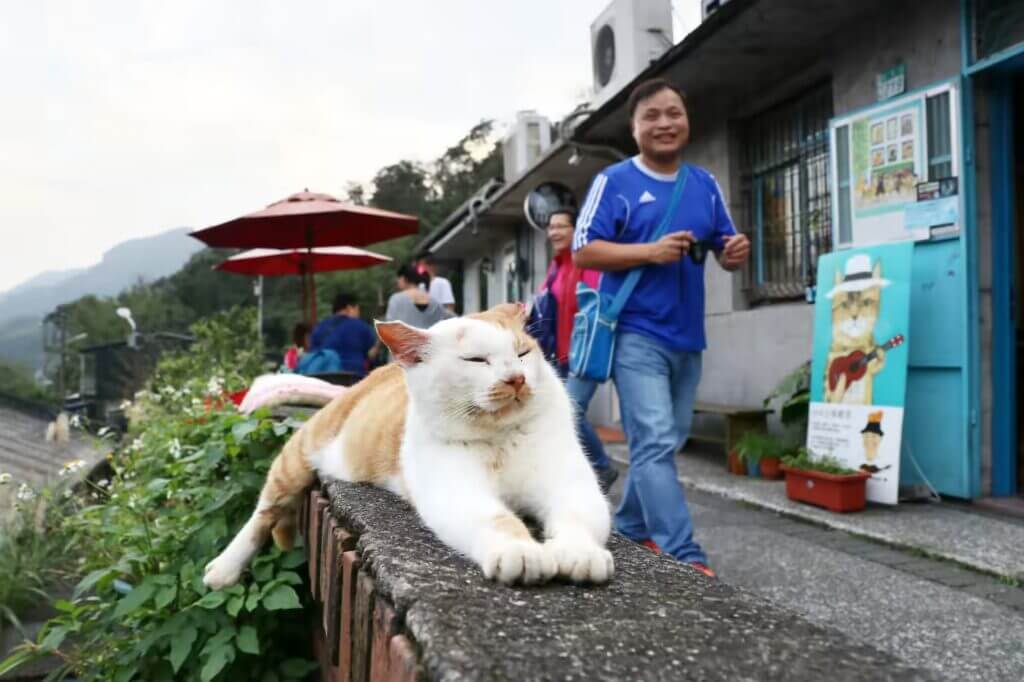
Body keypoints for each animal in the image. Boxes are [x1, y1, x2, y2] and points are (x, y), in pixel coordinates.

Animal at [203, 303, 610, 585]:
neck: (500, 439)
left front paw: (579, 554)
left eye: (523, 353)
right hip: (299, 454)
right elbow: (497, 519)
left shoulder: (570, 484)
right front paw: (520, 551)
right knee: (264, 511)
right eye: (476, 360)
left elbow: (577, 516)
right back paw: (224, 568)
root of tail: (379, 371)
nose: (516, 379)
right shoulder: (457, 492)